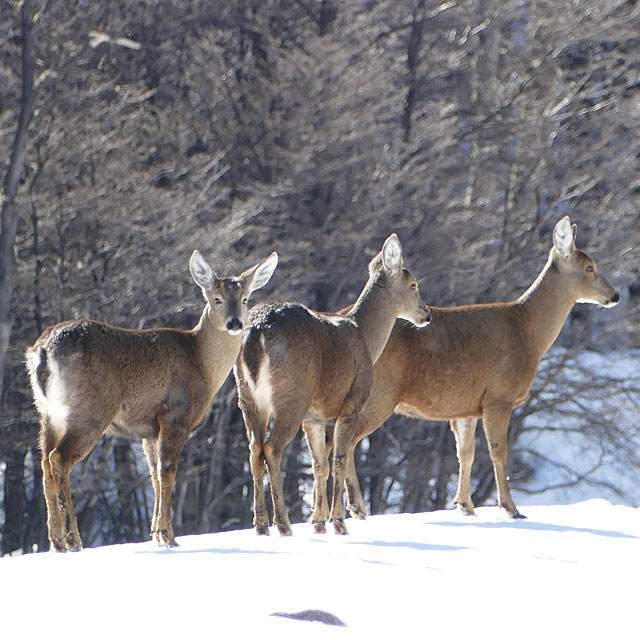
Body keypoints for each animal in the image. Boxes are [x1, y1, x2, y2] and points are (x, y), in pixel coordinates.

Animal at [27, 249, 278, 552]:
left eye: (245, 298)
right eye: (215, 298)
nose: (235, 323)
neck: (203, 363)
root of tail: (42, 351)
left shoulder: (149, 429)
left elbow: (154, 475)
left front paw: (156, 533)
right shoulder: (175, 416)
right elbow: (167, 472)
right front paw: (169, 536)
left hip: (48, 413)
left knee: (44, 463)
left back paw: (56, 541)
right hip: (89, 411)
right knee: (59, 459)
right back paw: (73, 539)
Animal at [232, 234, 432, 536]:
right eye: (414, 285)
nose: (427, 314)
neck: (365, 338)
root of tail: (256, 332)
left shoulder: (314, 417)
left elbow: (319, 465)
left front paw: (318, 522)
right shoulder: (352, 404)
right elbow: (338, 459)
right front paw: (338, 522)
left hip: (247, 396)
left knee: (254, 448)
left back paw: (261, 525)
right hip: (292, 394)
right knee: (272, 449)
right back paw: (283, 523)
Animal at [304, 215, 620, 524]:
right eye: (589, 266)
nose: (615, 295)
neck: (529, 331)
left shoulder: (466, 408)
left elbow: (465, 453)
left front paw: (465, 504)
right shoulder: (499, 396)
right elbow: (498, 452)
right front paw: (511, 508)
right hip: (378, 395)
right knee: (344, 444)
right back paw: (354, 508)